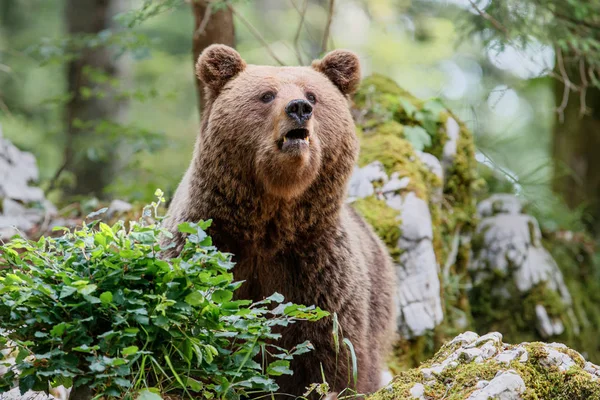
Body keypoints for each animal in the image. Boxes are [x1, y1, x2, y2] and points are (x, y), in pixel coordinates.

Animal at [164, 44, 396, 396]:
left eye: (313, 95)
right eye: (266, 95)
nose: (298, 108)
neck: (270, 224)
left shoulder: (319, 273)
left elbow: (335, 355)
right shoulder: (208, 243)